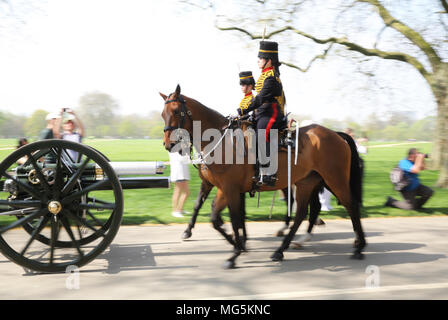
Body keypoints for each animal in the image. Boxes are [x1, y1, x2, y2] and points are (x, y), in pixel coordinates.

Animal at [161, 84, 364, 268]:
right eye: (163, 114)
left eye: (176, 111)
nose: (168, 144)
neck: (221, 142)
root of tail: (336, 135)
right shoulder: (221, 188)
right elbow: (213, 216)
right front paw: (236, 244)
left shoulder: (230, 189)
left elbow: (233, 217)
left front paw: (235, 251)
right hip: (307, 183)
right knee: (302, 213)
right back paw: (281, 249)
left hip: (334, 180)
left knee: (350, 204)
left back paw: (358, 247)